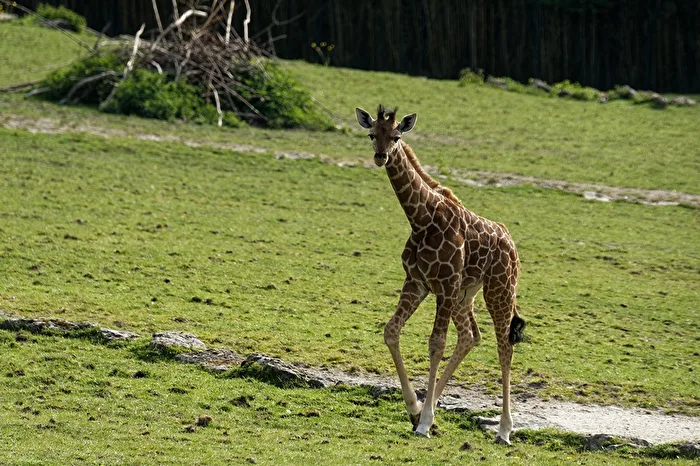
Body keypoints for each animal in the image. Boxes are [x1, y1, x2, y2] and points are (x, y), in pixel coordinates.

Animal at [355, 105, 526, 444]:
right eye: (372, 134)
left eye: (396, 136)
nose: (381, 156)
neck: (422, 219)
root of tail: (511, 242)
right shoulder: (418, 282)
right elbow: (391, 331)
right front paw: (416, 410)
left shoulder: (443, 286)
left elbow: (436, 344)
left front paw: (423, 422)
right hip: (465, 294)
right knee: (472, 335)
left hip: (499, 290)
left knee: (504, 345)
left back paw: (504, 430)